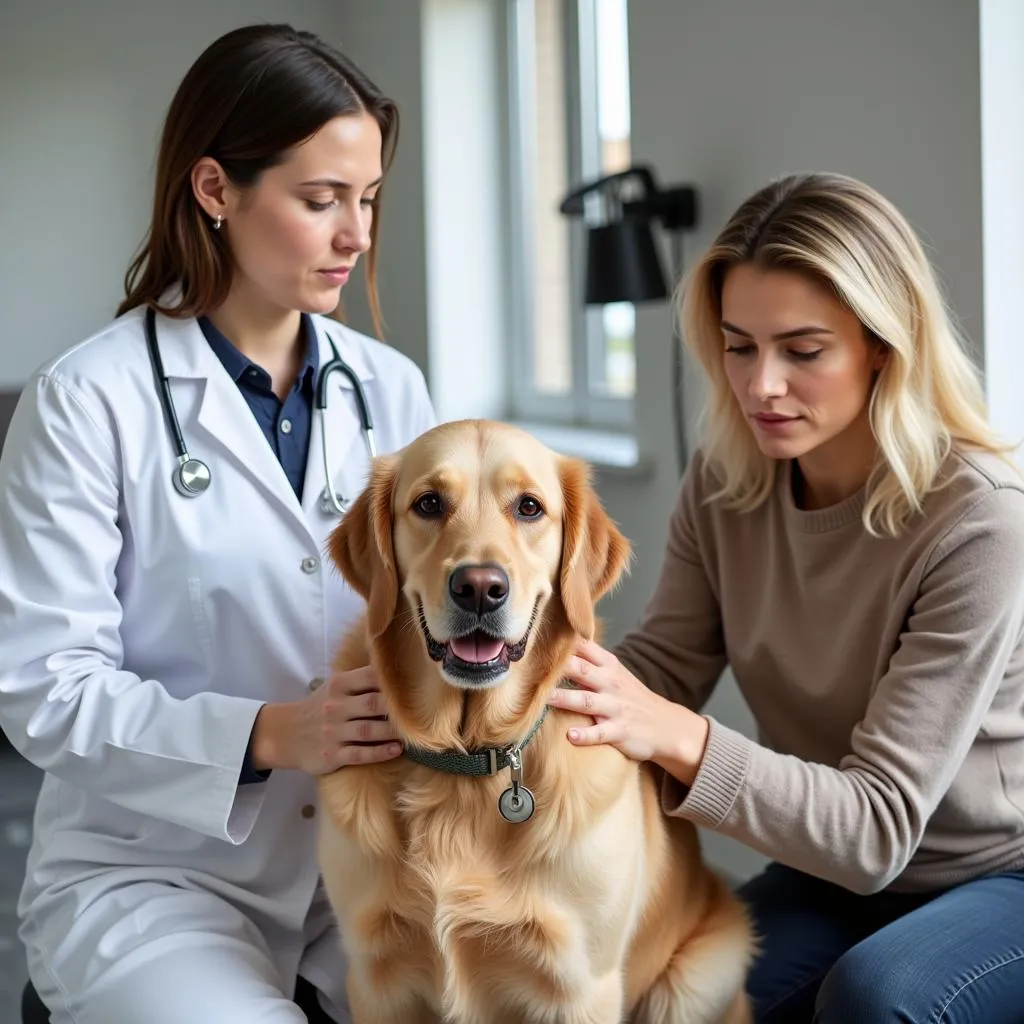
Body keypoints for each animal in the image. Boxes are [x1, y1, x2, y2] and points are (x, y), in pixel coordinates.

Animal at [315, 419, 757, 1019]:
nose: (480, 587)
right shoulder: (375, 979)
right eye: (429, 503)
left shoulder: (582, 988)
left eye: (529, 507)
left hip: (695, 980)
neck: (469, 759)